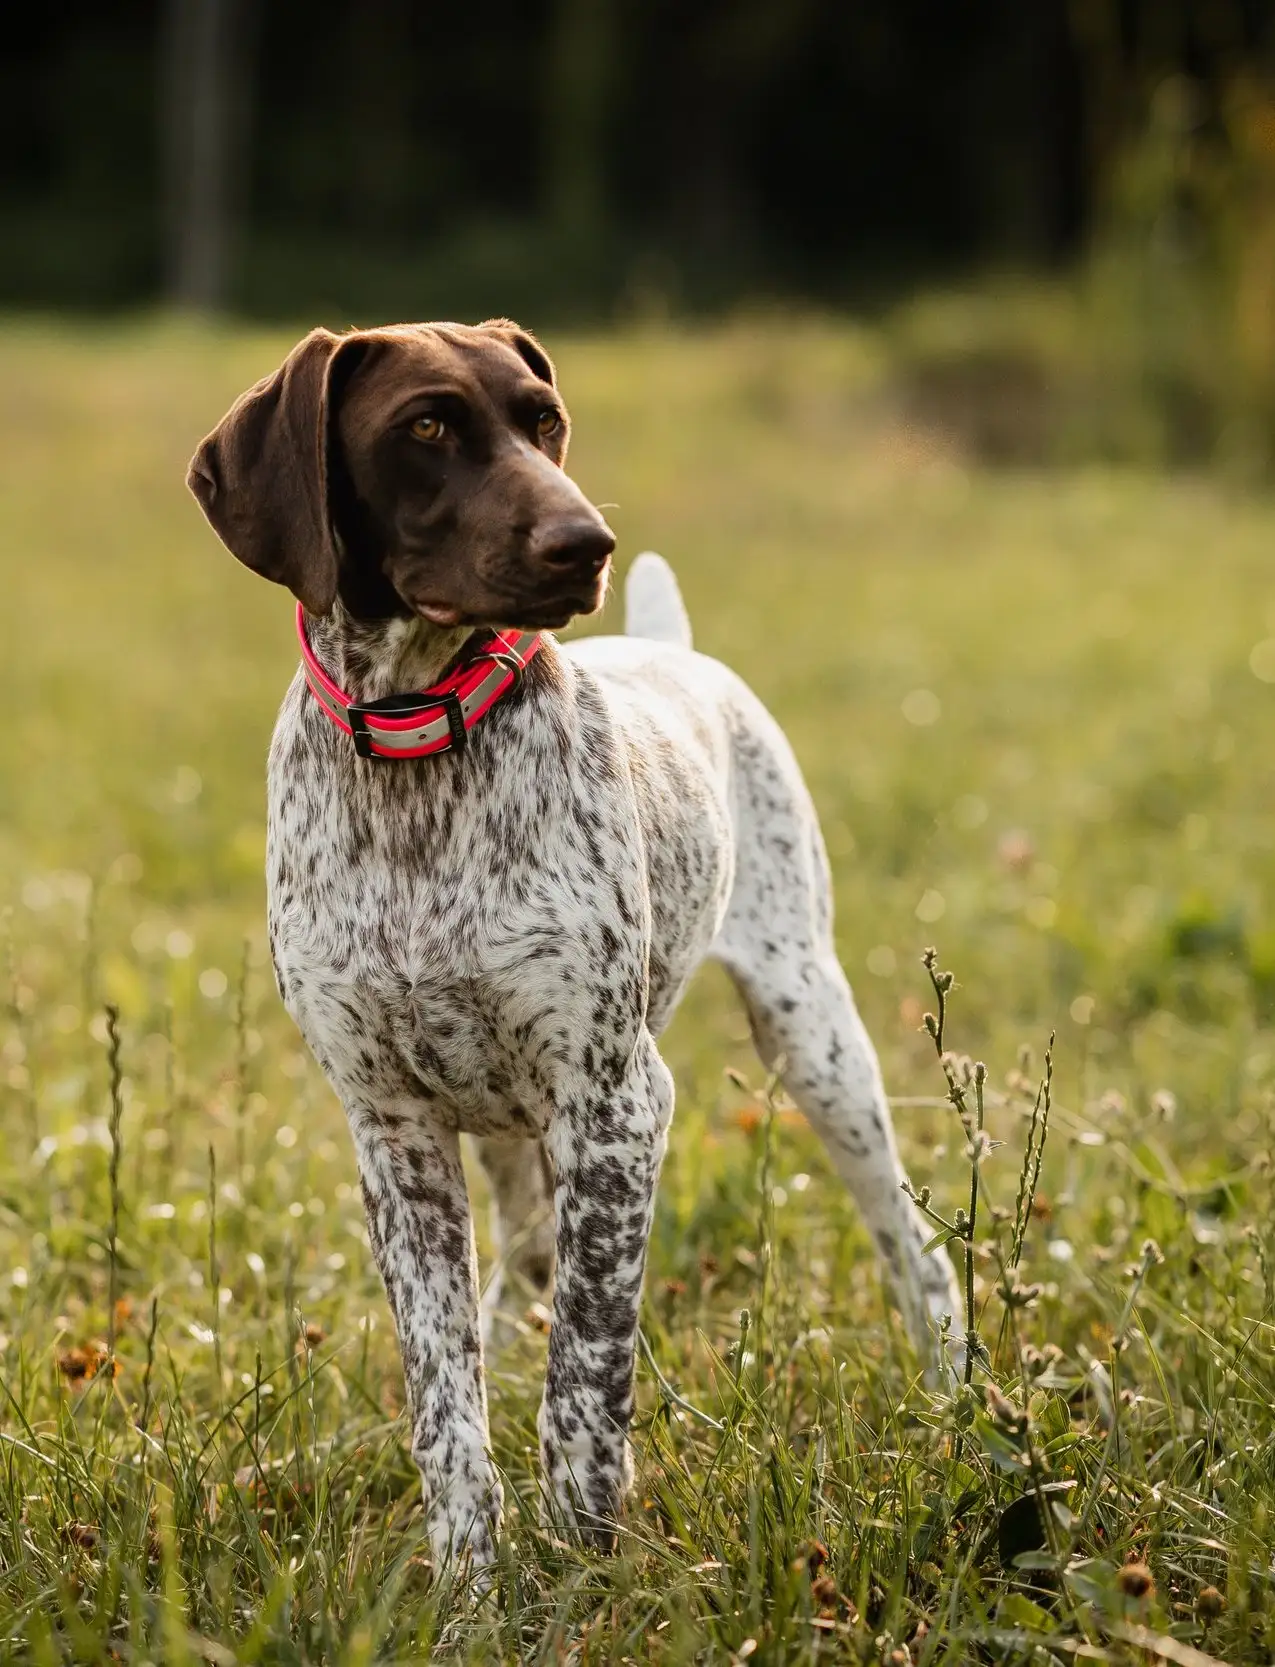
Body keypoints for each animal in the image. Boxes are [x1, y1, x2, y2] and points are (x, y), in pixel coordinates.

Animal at [189, 321, 960, 1573]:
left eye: (545, 420)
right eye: (427, 426)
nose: (584, 540)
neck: (415, 751)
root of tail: (676, 651)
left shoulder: (614, 1103)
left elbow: (585, 1382)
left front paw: (583, 1561)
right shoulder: (392, 1128)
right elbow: (445, 1396)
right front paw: (468, 1578)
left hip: (814, 1036)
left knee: (913, 1245)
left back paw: (955, 1397)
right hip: (501, 1123)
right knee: (521, 1263)